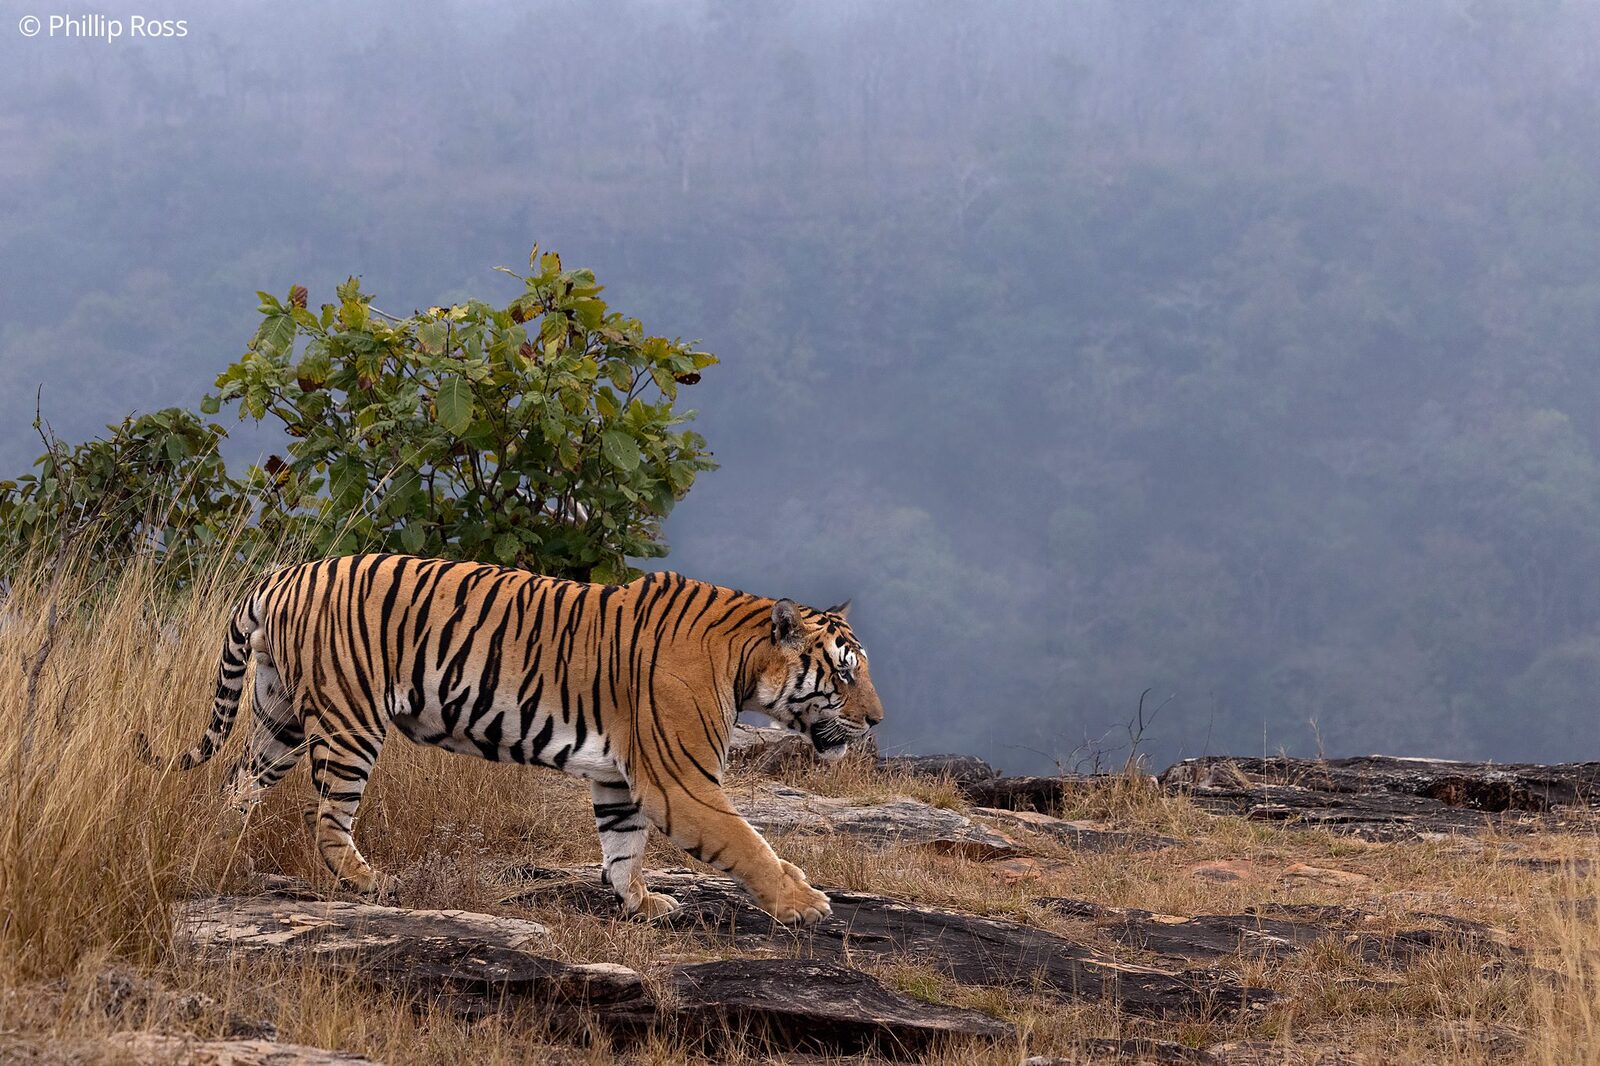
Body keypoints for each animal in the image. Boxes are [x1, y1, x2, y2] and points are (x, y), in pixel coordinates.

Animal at [137, 553, 882, 925]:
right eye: (846, 673)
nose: (876, 721)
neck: (743, 664)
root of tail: (282, 574)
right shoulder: (681, 783)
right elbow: (748, 844)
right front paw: (802, 902)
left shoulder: (621, 779)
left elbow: (622, 848)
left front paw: (641, 902)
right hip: (348, 721)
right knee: (325, 819)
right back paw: (372, 881)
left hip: (280, 714)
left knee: (237, 780)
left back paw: (216, 844)